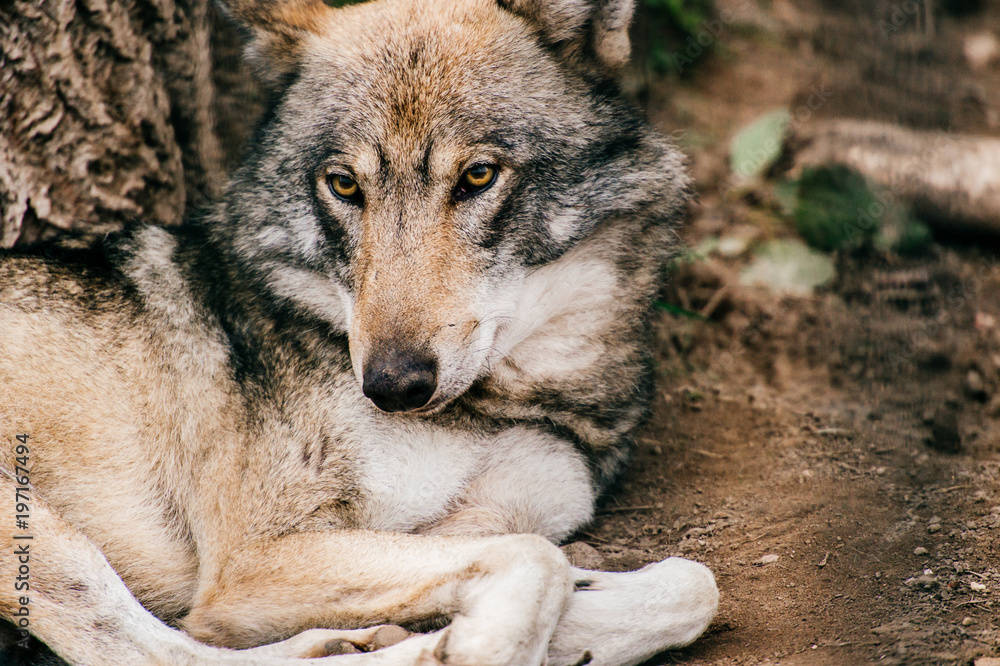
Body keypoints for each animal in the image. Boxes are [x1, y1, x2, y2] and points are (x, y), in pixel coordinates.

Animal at [0, 0, 718, 663]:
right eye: (344, 185)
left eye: (478, 176)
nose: (392, 385)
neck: (517, 400)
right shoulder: (255, 561)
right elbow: (537, 559)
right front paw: (479, 645)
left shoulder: (483, 520)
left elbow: (684, 583)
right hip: (36, 532)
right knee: (143, 647)